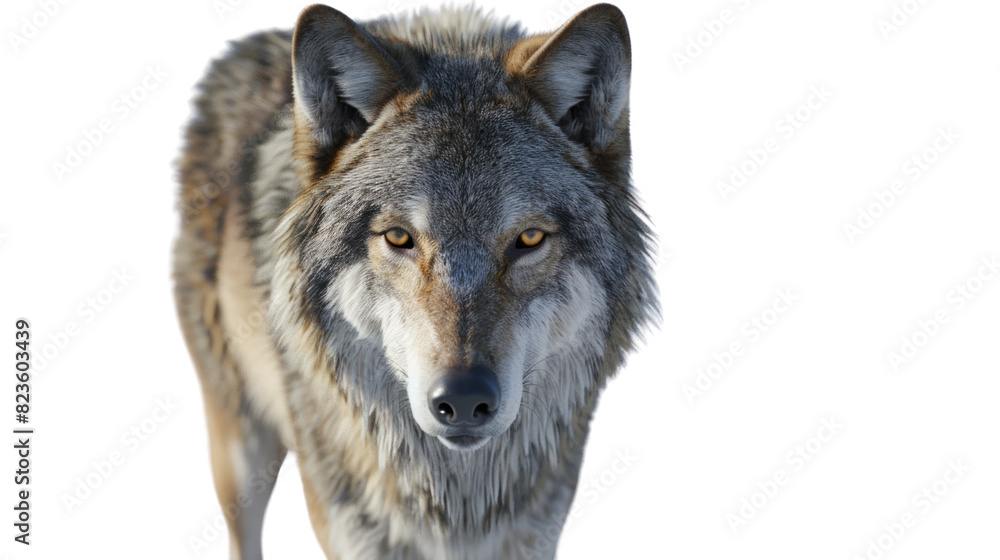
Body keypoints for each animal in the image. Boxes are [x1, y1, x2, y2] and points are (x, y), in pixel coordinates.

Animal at [173, 3, 656, 559]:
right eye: (399, 237)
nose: (464, 399)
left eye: (529, 237)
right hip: (239, 446)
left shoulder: (534, 531)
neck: (456, 500)